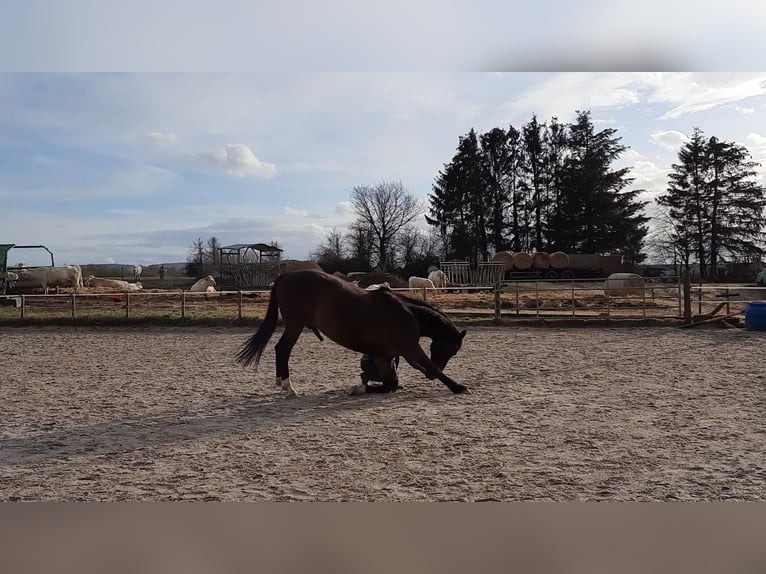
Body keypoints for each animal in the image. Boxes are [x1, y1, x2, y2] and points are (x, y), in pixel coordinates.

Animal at [235, 269, 469, 396]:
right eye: (452, 350)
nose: (429, 377)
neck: (408, 313)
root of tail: (285, 276)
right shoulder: (411, 348)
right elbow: (426, 366)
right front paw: (457, 387)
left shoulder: (384, 356)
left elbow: (389, 384)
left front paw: (361, 386)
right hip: (295, 325)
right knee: (282, 349)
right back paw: (288, 387)